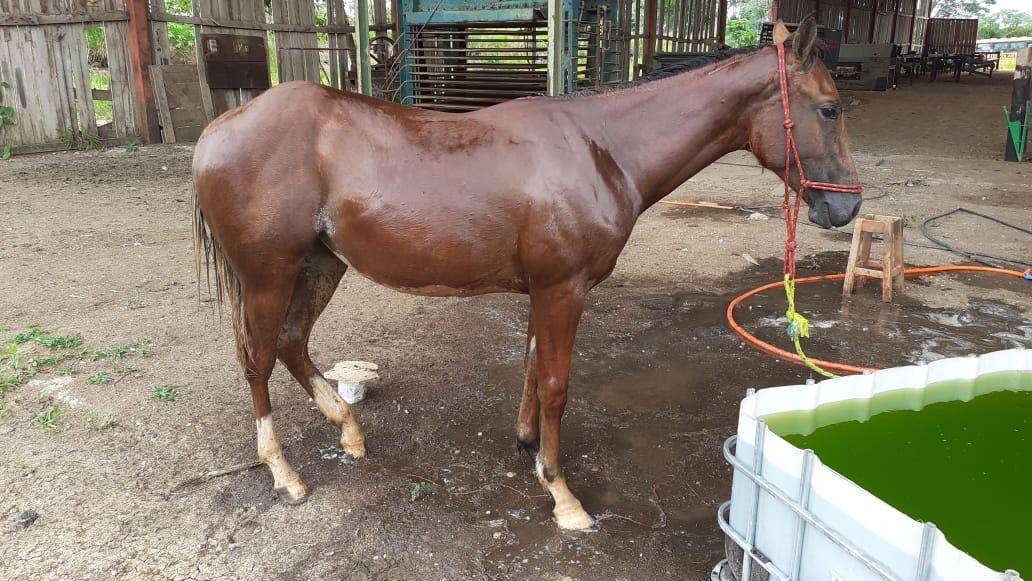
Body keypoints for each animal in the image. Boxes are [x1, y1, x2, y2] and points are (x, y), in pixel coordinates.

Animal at [192, 19, 862, 530]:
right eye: (829, 109)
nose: (847, 209)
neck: (602, 149)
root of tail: (219, 129)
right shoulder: (563, 290)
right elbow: (556, 385)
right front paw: (562, 493)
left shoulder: (544, 292)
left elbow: (535, 368)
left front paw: (529, 449)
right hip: (269, 276)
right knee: (257, 357)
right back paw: (284, 472)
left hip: (320, 265)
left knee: (290, 343)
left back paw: (348, 429)